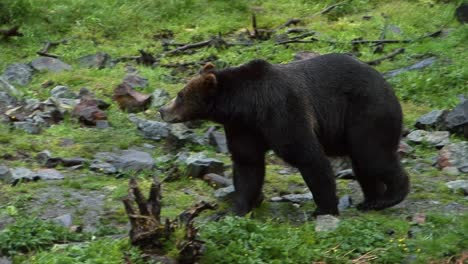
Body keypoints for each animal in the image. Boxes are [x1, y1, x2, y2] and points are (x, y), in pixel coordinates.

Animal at [159, 54, 408, 217]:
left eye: (180, 95)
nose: (162, 110)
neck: (246, 105)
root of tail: (388, 86)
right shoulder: (243, 127)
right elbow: (247, 165)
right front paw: (237, 209)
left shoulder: (283, 111)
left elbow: (307, 156)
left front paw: (324, 209)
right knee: (363, 164)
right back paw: (370, 201)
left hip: (366, 112)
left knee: (371, 155)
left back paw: (390, 197)